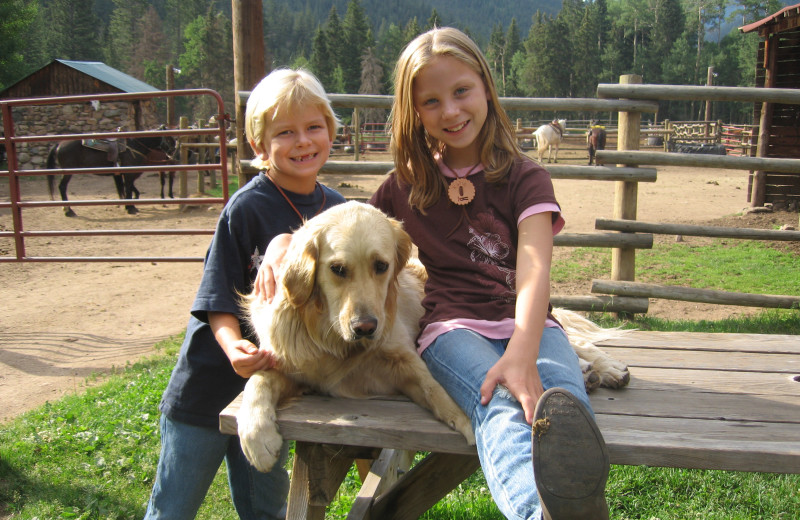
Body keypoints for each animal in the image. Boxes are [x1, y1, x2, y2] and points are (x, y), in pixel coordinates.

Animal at [47, 136, 175, 217]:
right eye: (169, 138)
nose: (172, 153)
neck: (134, 146)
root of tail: (58, 144)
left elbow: (127, 188)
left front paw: (129, 206)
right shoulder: (129, 173)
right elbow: (128, 189)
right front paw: (130, 208)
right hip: (68, 172)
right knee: (62, 187)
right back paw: (69, 211)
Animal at [238, 201, 632, 474]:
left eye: (380, 266)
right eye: (337, 270)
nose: (366, 327)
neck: (335, 342)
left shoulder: (403, 356)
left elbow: (436, 390)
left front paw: (470, 426)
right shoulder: (293, 366)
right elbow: (257, 379)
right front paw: (257, 437)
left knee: (572, 342)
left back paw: (607, 369)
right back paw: (590, 373)